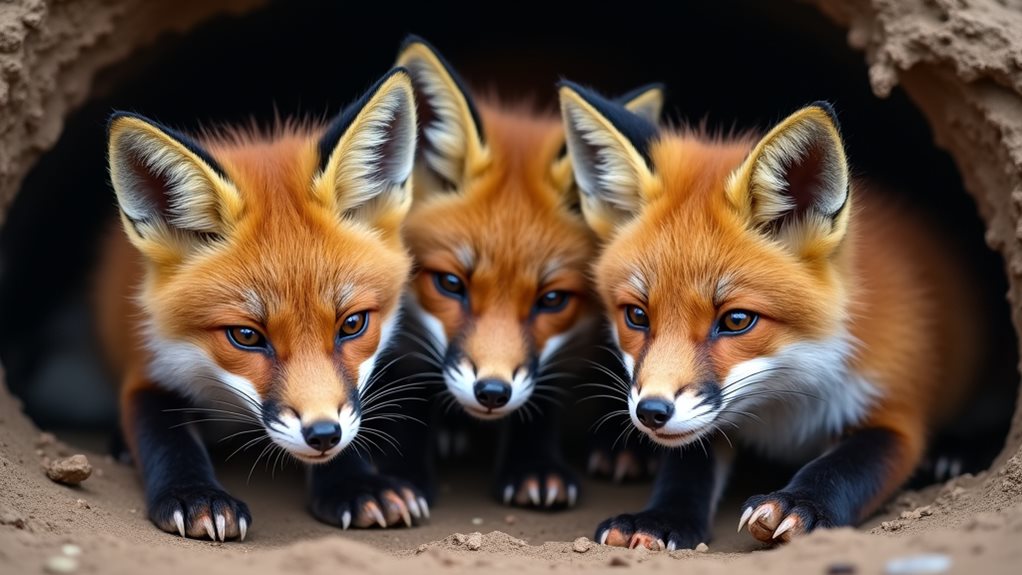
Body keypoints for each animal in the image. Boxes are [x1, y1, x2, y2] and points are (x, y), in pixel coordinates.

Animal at [95, 68, 425, 540]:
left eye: (352, 324)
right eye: (246, 336)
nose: (322, 434)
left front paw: (356, 485)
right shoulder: (149, 366)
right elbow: (165, 437)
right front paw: (195, 495)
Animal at [341, 36, 665, 512]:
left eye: (551, 300)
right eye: (450, 284)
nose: (492, 393)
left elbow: (543, 402)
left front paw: (534, 467)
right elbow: (409, 402)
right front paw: (404, 474)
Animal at [558, 83, 987, 549]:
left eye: (736, 320)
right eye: (636, 315)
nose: (652, 412)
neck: (785, 401)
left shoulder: (896, 411)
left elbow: (843, 467)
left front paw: (801, 503)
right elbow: (687, 468)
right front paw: (661, 517)